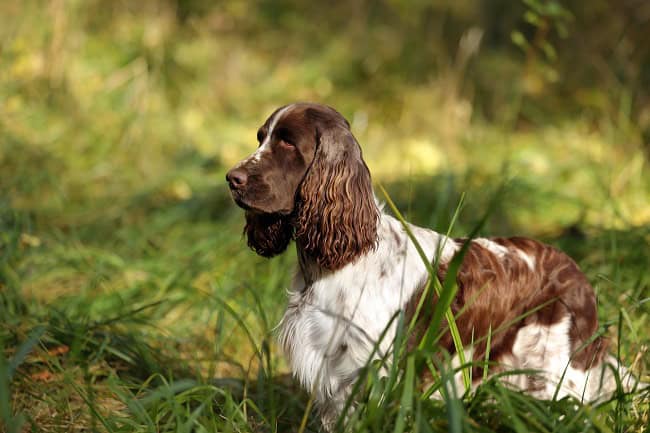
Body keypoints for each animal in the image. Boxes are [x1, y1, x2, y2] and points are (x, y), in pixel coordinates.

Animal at [225, 103, 636, 426]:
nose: (232, 178)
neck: (335, 263)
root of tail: (576, 272)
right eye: (261, 137)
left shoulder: (368, 368)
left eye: (288, 143)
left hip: (557, 375)